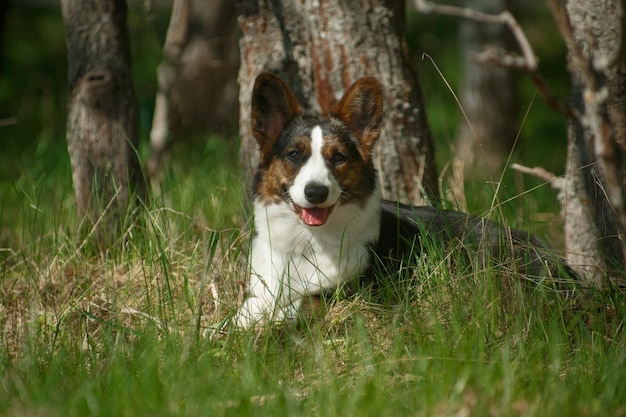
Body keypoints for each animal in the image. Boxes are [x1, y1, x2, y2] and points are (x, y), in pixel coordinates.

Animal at [235, 72, 576, 328]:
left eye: (339, 157)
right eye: (294, 154)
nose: (315, 192)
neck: (306, 242)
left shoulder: (351, 293)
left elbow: (301, 303)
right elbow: (246, 310)